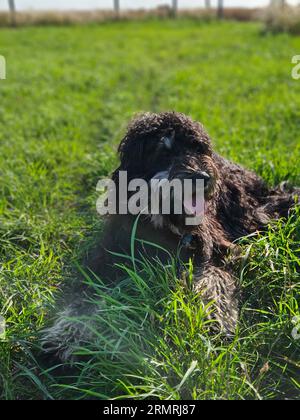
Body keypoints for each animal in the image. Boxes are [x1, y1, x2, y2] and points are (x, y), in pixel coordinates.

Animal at [42, 112, 300, 364]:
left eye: (198, 148)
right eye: (164, 152)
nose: (203, 177)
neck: (162, 220)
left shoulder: (214, 251)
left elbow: (213, 282)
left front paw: (215, 320)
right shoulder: (108, 255)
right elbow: (86, 295)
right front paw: (66, 334)